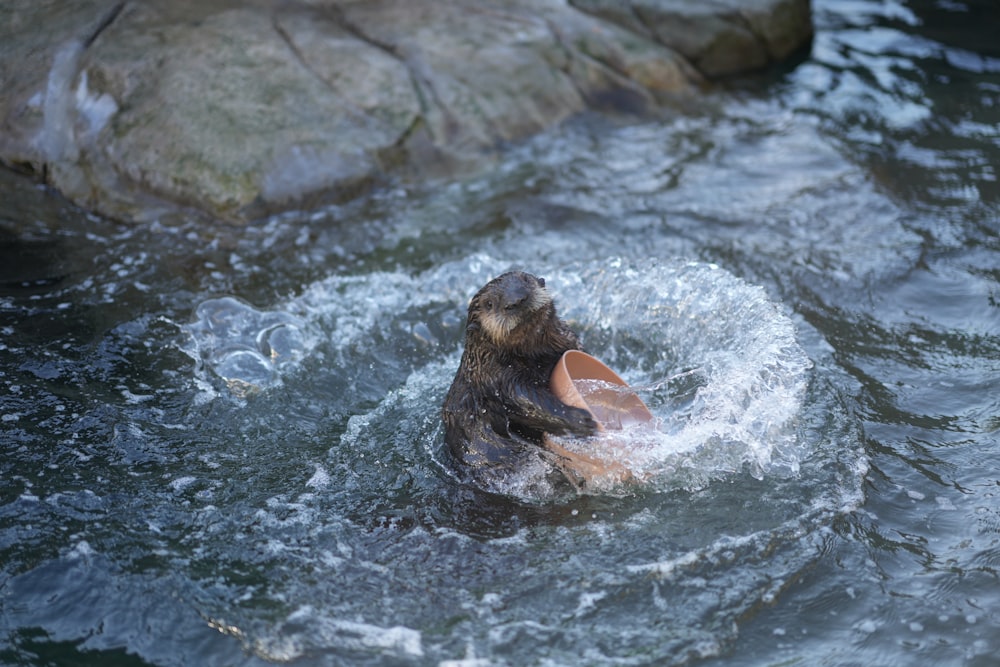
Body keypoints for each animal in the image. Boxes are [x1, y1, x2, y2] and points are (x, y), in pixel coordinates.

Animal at [444, 272, 592, 490]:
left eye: (524, 280)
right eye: (489, 303)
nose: (516, 300)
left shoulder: (568, 342)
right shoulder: (499, 378)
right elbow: (528, 402)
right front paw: (582, 418)